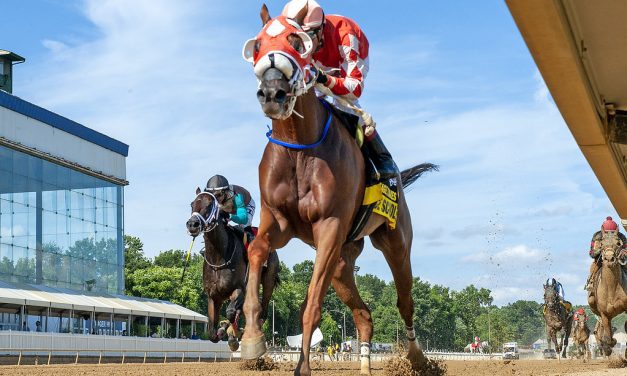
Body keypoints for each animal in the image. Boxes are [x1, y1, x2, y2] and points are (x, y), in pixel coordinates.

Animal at [183, 189, 278, 352]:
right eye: (192, 204)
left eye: (210, 205)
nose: (192, 224)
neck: (218, 258)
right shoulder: (213, 296)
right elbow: (212, 334)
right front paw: (225, 331)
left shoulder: (239, 288)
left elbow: (231, 312)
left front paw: (234, 334)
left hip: (268, 281)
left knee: (263, 311)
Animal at [240, 4, 436, 374]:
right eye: (256, 46)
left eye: (296, 41)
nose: (272, 93)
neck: (300, 148)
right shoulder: (279, 223)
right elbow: (256, 250)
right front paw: (252, 339)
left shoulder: (330, 227)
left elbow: (311, 306)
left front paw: (302, 368)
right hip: (344, 265)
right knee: (363, 315)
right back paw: (365, 364)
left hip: (395, 244)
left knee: (405, 301)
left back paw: (417, 358)